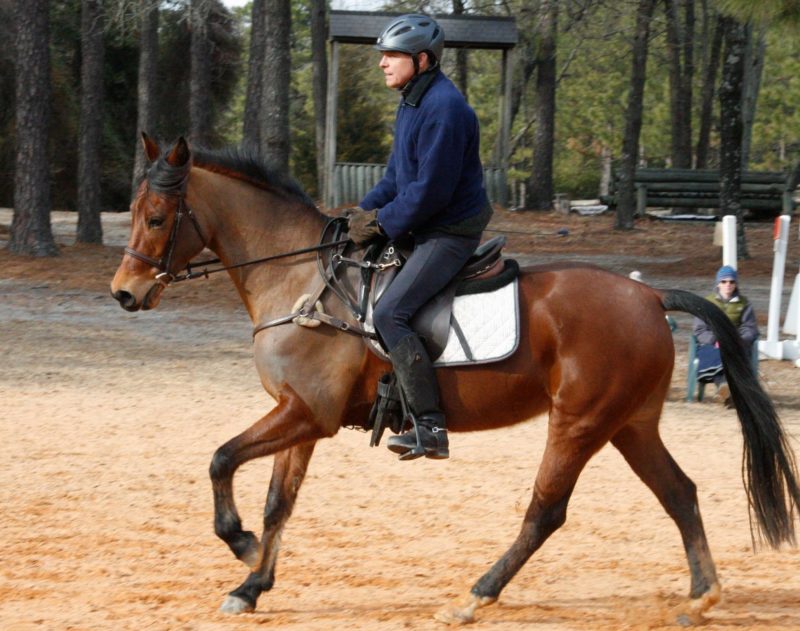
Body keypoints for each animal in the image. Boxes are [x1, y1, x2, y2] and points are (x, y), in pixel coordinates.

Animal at [110, 135, 800, 625]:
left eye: (158, 217)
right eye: (134, 212)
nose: (124, 293)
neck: (303, 280)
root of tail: (651, 297)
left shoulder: (306, 415)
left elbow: (221, 459)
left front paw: (241, 546)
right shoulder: (299, 415)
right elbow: (280, 501)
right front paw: (253, 584)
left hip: (579, 423)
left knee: (546, 512)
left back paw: (475, 596)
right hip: (628, 424)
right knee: (678, 492)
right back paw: (702, 595)